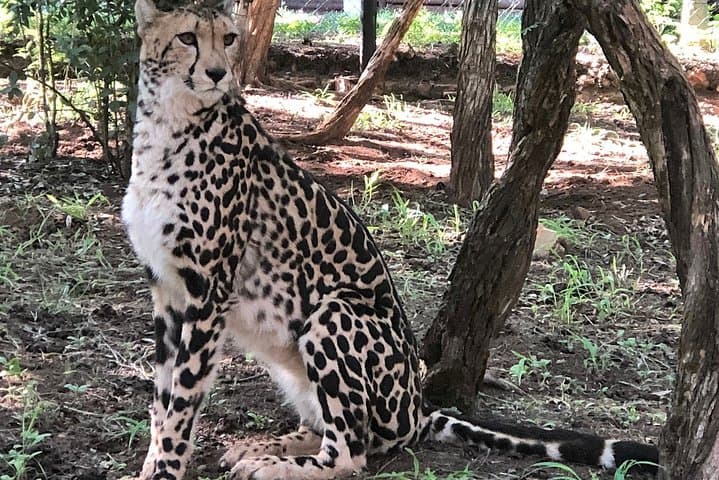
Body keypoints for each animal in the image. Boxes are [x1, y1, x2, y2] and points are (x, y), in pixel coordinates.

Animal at [121, 1, 659, 479]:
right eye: (187, 37)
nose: (217, 73)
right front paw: (150, 466)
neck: (169, 125)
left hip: (333, 311)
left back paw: (273, 464)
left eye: (228, 39)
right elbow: (162, 398)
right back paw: (266, 445)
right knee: (335, 431)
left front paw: (166, 470)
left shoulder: (208, 295)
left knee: (351, 451)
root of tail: (417, 406)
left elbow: (182, 402)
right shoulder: (167, 291)